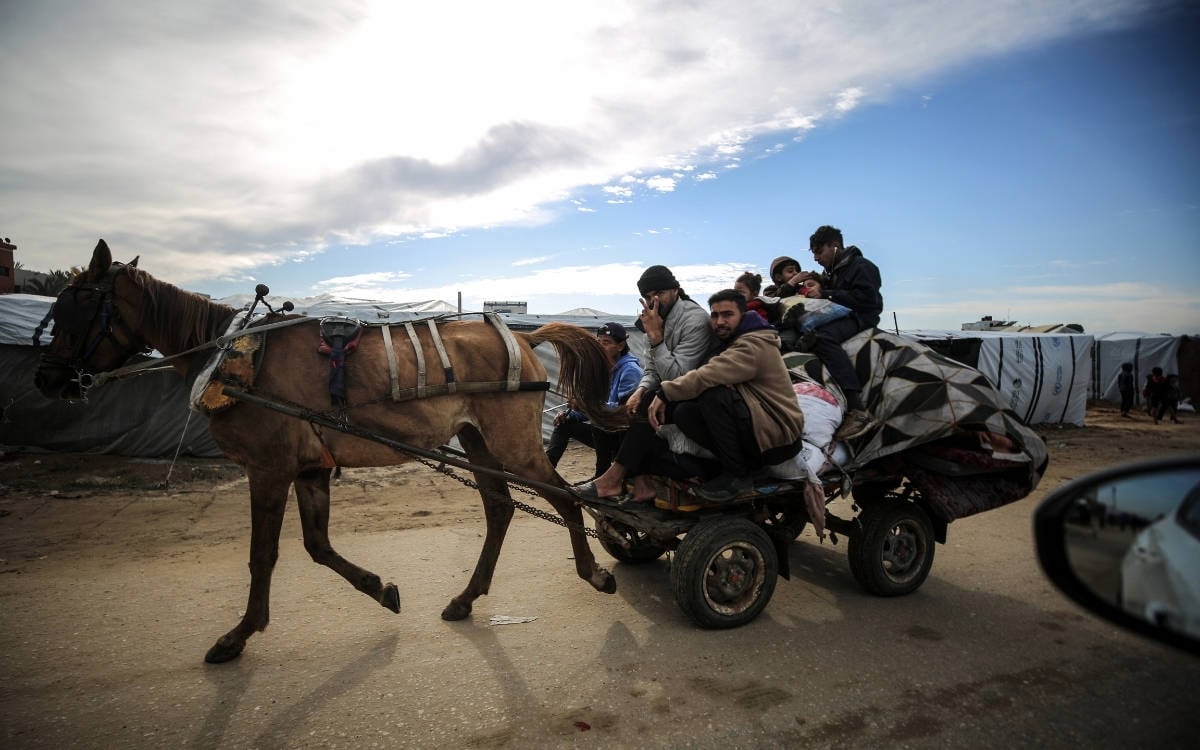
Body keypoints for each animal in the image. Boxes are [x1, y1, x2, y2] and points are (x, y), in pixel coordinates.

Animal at [34, 240, 624, 662]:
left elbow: (263, 554)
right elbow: (317, 546)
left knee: (564, 497)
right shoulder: (310, 469)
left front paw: (238, 635)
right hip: (477, 439)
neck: (236, 359)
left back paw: (594, 572)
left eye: (73, 307)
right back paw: (466, 597)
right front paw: (380, 589)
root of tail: (524, 337)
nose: (46, 379)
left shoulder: (269, 469)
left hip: (513, 440)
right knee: (500, 507)